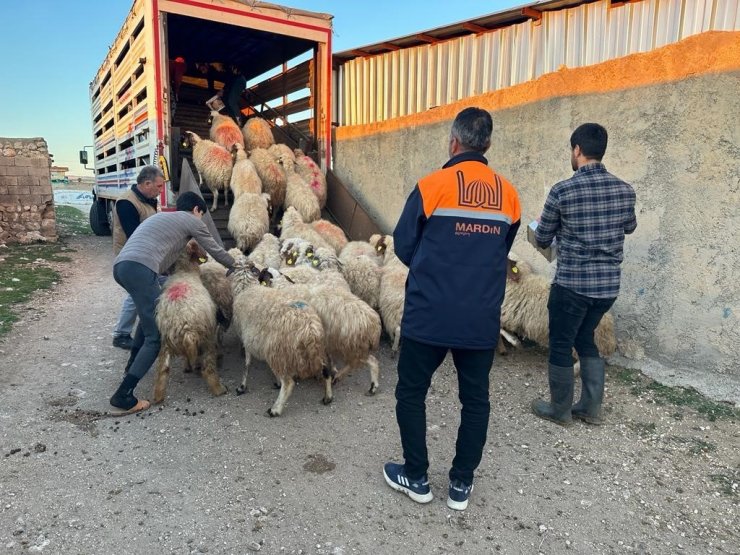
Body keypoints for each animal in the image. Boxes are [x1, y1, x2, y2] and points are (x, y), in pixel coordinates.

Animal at [152, 240, 227, 404]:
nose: (206, 256)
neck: (184, 272)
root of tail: (184, 324)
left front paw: (187, 366)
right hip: (207, 338)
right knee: (208, 369)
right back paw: (219, 389)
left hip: (166, 341)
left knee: (163, 370)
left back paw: (158, 397)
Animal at [228, 262, 326, 416]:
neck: (246, 289)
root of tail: (309, 328)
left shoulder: (246, 338)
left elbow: (247, 364)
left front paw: (242, 386)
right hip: (314, 349)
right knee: (326, 371)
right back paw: (328, 396)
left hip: (277, 350)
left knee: (288, 383)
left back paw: (275, 409)